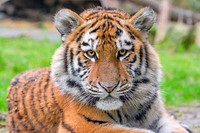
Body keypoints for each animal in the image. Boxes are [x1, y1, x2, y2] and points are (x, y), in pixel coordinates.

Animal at [6, 6, 191, 132]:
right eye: (91, 53)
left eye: (122, 52)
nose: (109, 87)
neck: (125, 110)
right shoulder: (86, 125)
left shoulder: (161, 117)